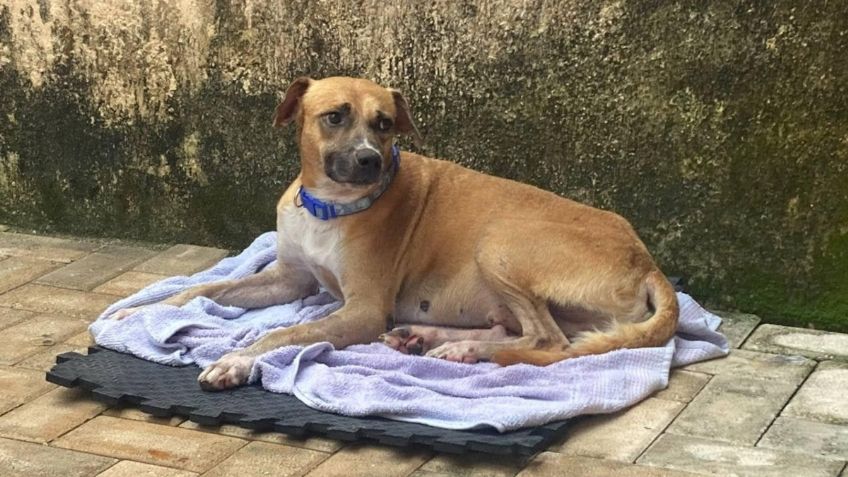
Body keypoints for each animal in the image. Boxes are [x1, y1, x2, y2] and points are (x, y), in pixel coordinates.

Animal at [114, 76, 684, 388]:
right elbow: (208, 287)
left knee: (550, 342)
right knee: (522, 332)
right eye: (335, 116)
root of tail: (646, 261)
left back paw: (464, 352)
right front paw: (139, 310)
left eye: (385, 123)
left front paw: (234, 361)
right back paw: (431, 338)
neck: (329, 208)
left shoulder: (363, 309)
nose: (370, 160)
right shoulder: (288, 279)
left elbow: (283, 333)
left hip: (499, 244)